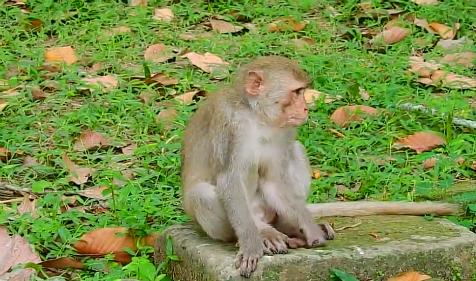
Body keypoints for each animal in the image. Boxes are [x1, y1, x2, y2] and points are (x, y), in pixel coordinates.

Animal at [179, 55, 462, 278]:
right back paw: (264, 231)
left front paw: (309, 228)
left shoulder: (286, 131)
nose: (305, 108)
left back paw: (290, 228)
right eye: (296, 92)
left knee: (297, 151)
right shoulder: (231, 127)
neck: (258, 116)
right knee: (203, 194)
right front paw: (252, 243)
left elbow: (274, 180)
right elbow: (230, 180)